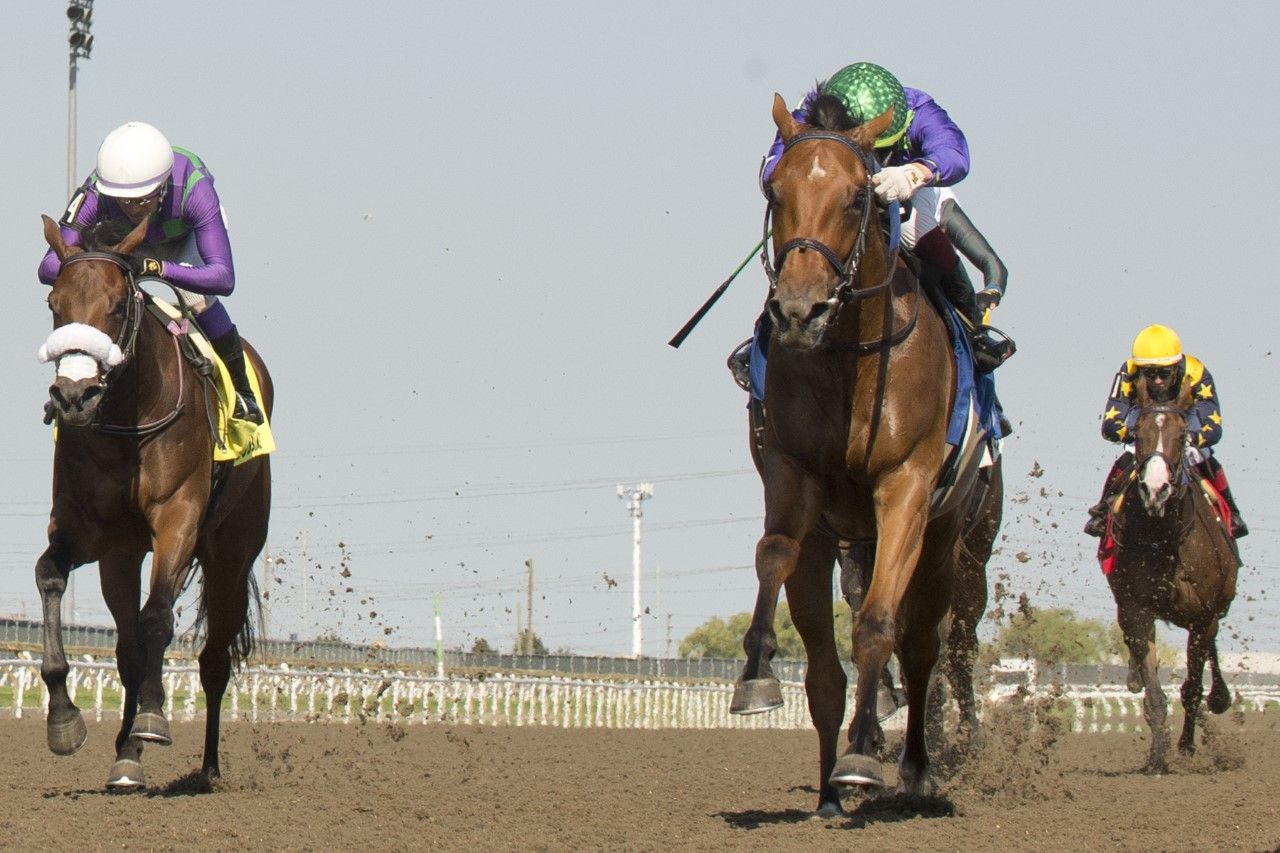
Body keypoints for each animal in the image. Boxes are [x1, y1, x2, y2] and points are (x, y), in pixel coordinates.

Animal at [35, 216, 272, 788]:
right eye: (55, 303)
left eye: (120, 305)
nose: (74, 397)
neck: (126, 416)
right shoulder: (87, 533)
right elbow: (49, 577)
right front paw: (65, 721)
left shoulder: (178, 520)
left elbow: (158, 617)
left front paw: (152, 719)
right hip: (121, 556)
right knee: (127, 649)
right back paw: (125, 758)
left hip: (232, 554)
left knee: (214, 660)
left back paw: (206, 769)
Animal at [732, 92, 998, 809]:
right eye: (775, 190)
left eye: (859, 197)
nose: (799, 310)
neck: (850, 352)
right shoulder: (794, 476)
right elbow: (773, 554)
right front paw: (756, 672)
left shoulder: (905, 487)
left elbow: (881, 625)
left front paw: (864, 755)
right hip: (843, 539)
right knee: (827, 668)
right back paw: (831, 789)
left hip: (949, 540)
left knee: (926, 642)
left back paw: (912, 765)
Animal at [1105, 368, 1233, 768]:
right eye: (1138, 435)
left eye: (1181, 436)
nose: (1156, 489)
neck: (1165, 538)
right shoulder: (1137, 609)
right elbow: (1154, 691)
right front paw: (1157, 757)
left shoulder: (1203, 614)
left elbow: (1191, 687)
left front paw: (1186, 746)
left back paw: (1218, 700)